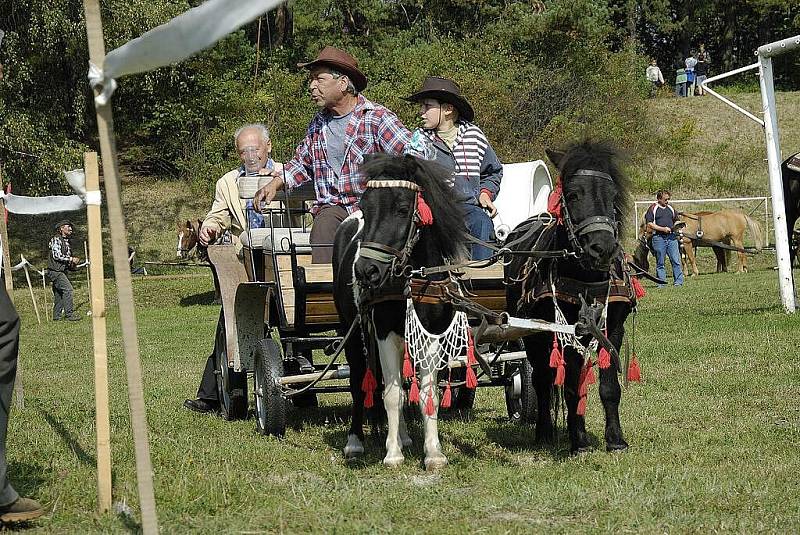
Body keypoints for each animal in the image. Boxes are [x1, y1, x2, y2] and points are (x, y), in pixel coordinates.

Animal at [332, 152, 468, 468]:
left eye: (403, 208)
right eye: (366, 208)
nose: (366, 271)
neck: (411, 277)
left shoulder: (429, 333)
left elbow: (426, 392)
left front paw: (433, 452)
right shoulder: (384, 333)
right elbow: (391, 394)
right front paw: (392, 453)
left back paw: (404, 436)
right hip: (352, 331)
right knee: (359, 381)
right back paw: (355, 441)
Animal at [504, 141, 640, 452]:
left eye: (613, 194)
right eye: (573, 194)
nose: (603, 248)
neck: (586, 278)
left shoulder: (612, 329)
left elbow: (608, 386)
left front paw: (615, 439)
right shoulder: (561, 331)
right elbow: (568, 385)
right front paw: (579, 441)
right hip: (534, 334)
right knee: (542, 380)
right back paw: (544, 431)